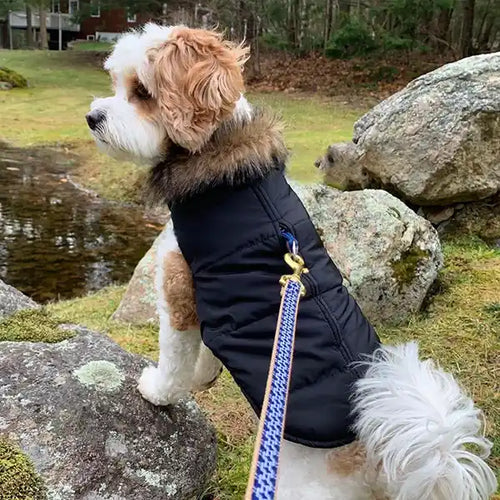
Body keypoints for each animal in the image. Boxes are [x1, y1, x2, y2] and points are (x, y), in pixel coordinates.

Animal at [88, 24, 498, 500]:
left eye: (141, 92)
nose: (92, 117)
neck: (220, 154)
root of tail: (375, 462)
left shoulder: (178, 294)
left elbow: (174, 361)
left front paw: (157, 391)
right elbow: (210, 347)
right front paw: (205, 374)